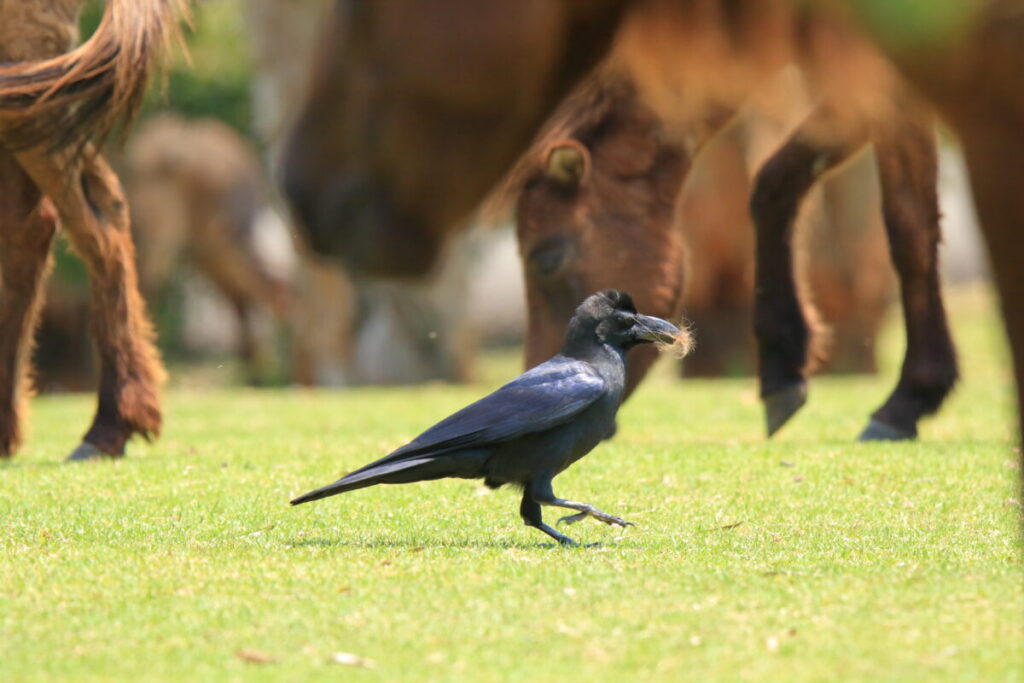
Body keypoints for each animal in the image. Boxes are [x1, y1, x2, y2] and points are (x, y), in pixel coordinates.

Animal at [281, 0, 956, 441]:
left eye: (546, 257)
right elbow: (774, 183)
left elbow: (907, 227)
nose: (544, 376)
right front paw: (786, 363)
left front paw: (909, 397)